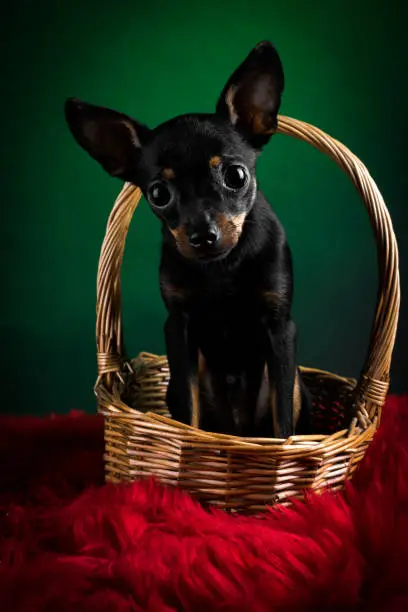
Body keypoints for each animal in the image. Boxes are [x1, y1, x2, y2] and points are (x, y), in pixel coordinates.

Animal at [63, 40, 312, 438]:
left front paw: (282, 451)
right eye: (158, 194)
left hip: (296, 384)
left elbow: (282, 418)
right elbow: (188, 409)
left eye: (236, 176)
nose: (203, 236)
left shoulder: (280, 328)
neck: (222, 267)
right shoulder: (179, 329)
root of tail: (239, 431)